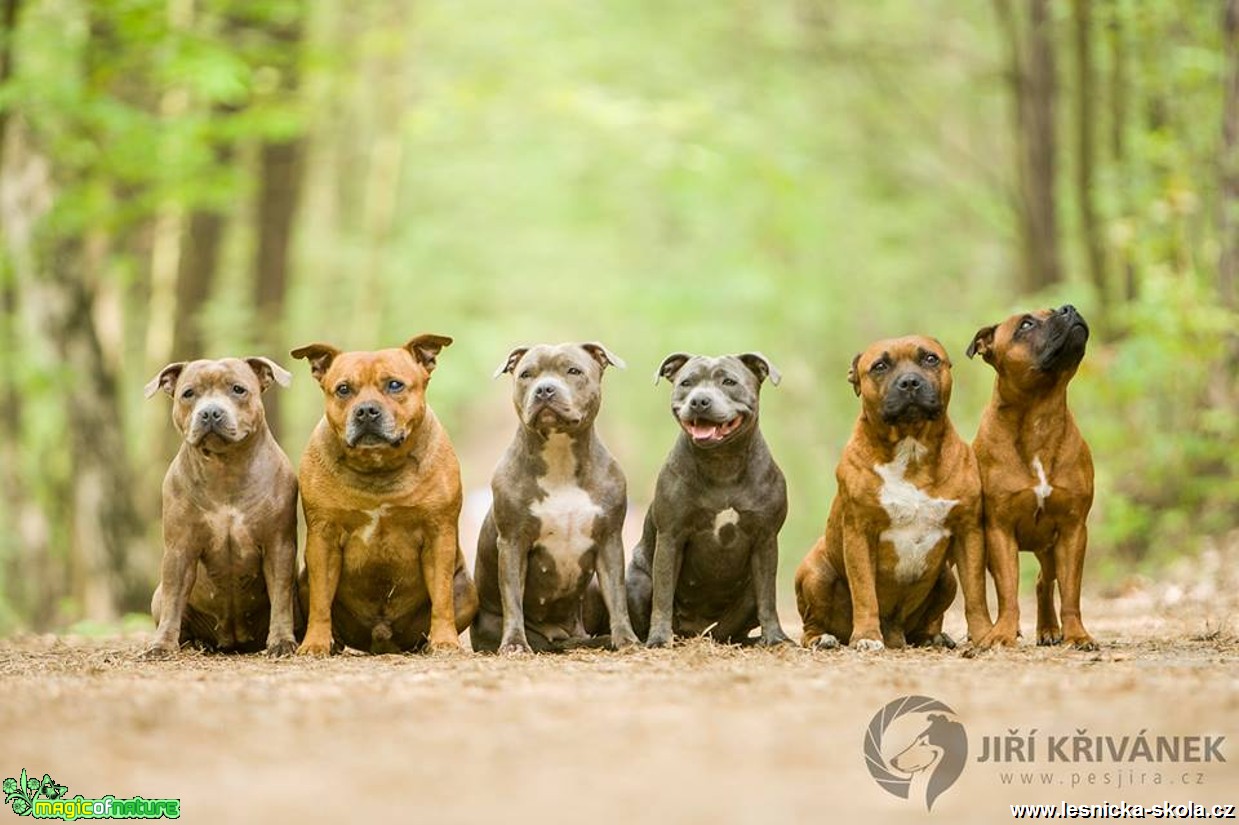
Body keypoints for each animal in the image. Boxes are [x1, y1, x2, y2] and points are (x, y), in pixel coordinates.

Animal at [289, 331, 478, 654]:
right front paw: (315, 644)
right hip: (303, 580)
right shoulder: (322, 538)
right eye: (343, 389)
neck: (378, 468)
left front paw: (444, 640)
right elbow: (320, 601)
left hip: (467, 589)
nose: (366, 411)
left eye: (394, 385)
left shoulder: (439, 533)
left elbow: (441, 597)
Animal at [465, 339, 634, 649]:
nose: (544, 389)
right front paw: (514, 643)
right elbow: (512, 599)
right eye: (526, 374)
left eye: (573, 371)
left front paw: (627, 639)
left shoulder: (609, 540)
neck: (560, 457)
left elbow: (617, 597)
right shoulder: (513, 543)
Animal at [624, 349, 788, 644]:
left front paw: (775, 637)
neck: (722, 462)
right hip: (637, 580)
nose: (700, 400)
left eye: (729, 382)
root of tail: (697, 631)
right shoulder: (671, 537)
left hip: (745, 597)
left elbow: (768, 599)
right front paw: (659, 638)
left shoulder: (766, 539)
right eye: (686, 383)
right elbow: (663, 596)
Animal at [797, 334, 991, 649]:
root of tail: (895, 631)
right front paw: (866, 636)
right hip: (815, 572)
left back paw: (933, 637)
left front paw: (986, 635)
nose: (910, 382)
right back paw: (823, 638)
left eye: (930, 359)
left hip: (947, 579)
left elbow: (976, 593)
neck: (910, 450)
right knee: (810, 625)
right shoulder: (859, 533)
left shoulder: (969, 531)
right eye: (880, 366)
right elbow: (864, 592)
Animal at [966, 304, 1095, 644]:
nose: (1069, 308)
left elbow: (1071, 592)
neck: (1040, 416)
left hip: (1049, 546)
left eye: (1055, 309)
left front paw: (1077, 635)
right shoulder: (1000, 530)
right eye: (1025, 325)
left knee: (1043, 581)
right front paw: (1001, 634)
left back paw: (1049, 629)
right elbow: (1007, 591)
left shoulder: (1073, 530)